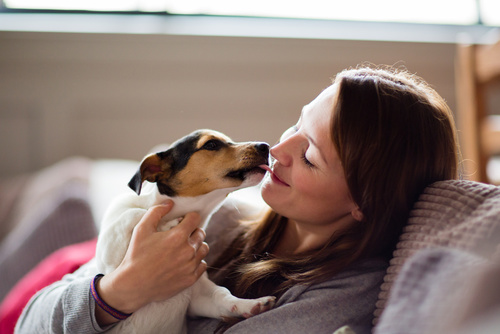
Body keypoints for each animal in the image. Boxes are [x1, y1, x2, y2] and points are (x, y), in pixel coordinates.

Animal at [94, 130, 274, 334]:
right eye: (211, 144)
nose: (266, 147)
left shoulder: (198, 295)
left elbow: (222, 296)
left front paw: (251, 305)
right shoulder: (110, 257)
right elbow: (136, 213)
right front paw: (168, 225)